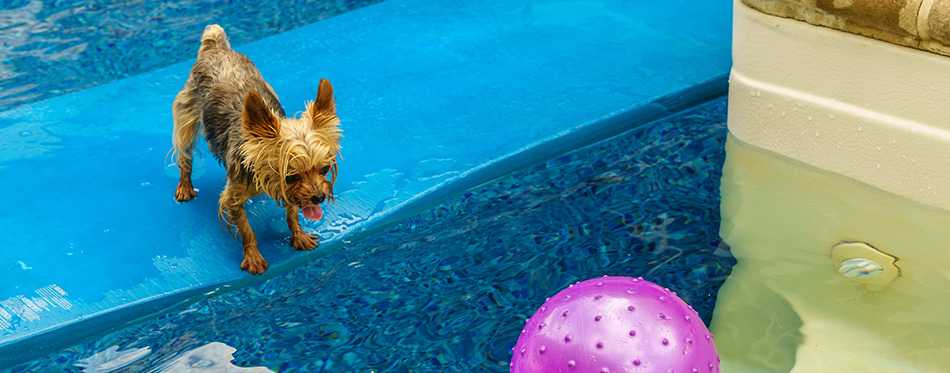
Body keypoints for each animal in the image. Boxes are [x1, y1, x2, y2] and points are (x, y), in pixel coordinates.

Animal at [171, 24, 342, 274]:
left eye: (324, 169)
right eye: (291, 177)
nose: (319, 197)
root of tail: (216, 47)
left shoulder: (290, 194)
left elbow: (292, 211)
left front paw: (298, 235)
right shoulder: (233, 197)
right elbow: (246, 230)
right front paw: (253, 257)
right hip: (186, 116)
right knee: (185, 157)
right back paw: (184, 186)